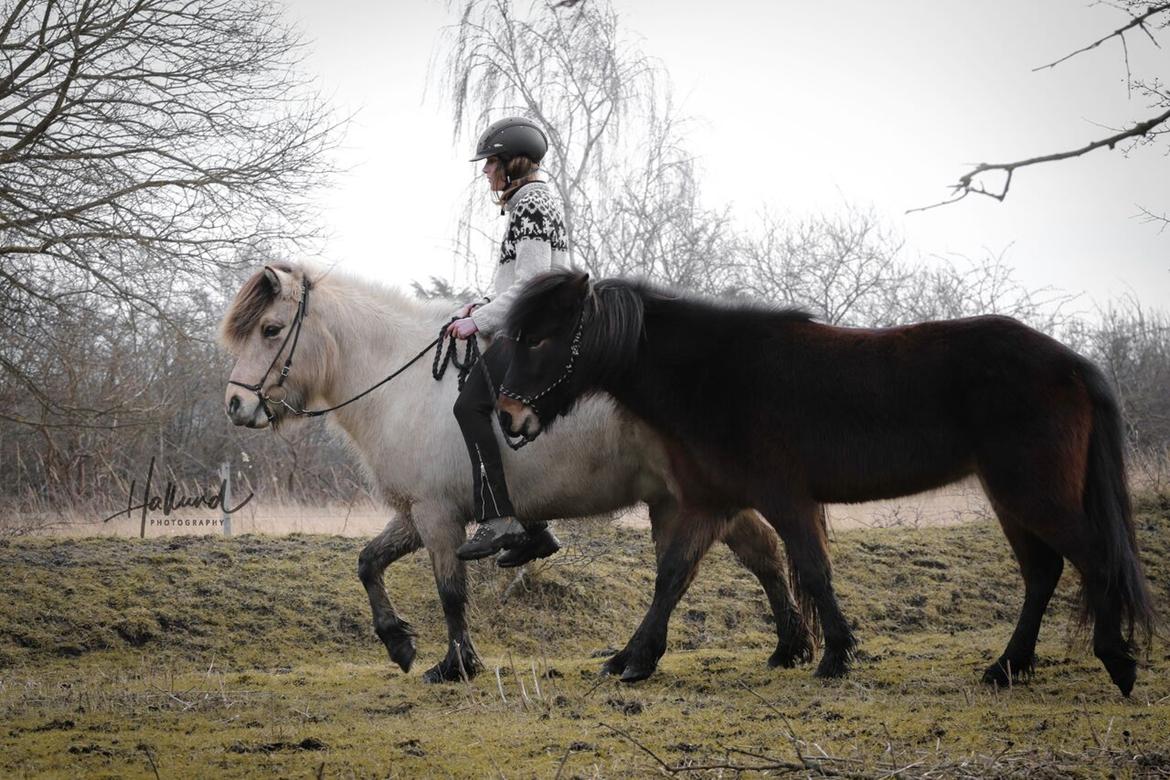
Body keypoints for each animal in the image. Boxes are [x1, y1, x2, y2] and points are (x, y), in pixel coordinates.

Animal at [217, 261, 814, 682]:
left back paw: (643, 657)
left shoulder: (437, 514)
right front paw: (398, 642)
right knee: (760, 553)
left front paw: (456, 666)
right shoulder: (419, 512)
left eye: (270, 329)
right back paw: (790, 646)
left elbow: (450, 591)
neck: (400, 382)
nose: (235, 406)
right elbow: (368, 562)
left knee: (692, 568)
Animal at [493, 270, 1151, 696]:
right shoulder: (710, 504)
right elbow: (674, 576)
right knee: (1044, 573)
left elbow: (811, 571)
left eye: (542, 338)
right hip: (1011, 497)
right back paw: (1006, 669)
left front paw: (834, 656)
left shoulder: (784, 500)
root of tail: (1074, 364)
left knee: (1095, 559)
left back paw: (1115, 662)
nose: (507, 417)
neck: (714, 376)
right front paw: (634, 660)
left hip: (1031, 494)